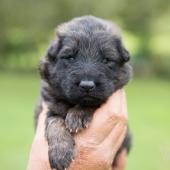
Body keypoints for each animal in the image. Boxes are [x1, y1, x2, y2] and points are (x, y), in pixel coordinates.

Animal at [36, 15, 133, 169]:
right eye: (70, 57)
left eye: (106, 60)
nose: (87, 85)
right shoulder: (50, 102)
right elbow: (54, 121)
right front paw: (60, 152)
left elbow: (94, 102)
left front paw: (78, 114)